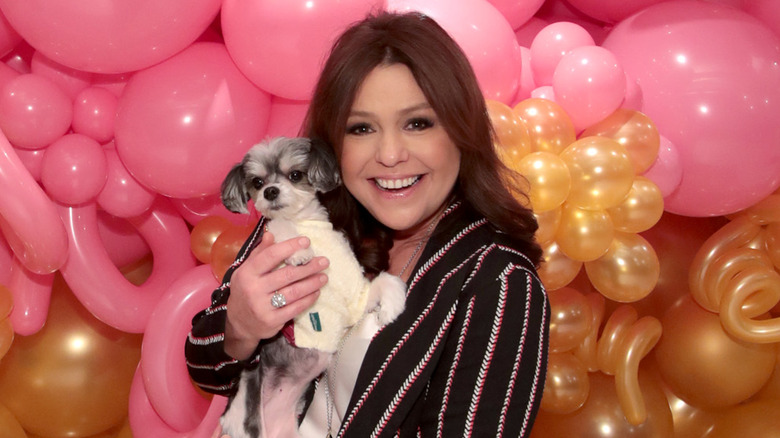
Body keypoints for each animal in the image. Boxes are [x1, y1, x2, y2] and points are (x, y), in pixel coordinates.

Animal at [216, 137, 406, 438]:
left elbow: (383, 282)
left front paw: (393, 305)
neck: (305, 222)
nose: (270, 191)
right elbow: (280, 228)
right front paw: (299, 252)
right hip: (247, 413)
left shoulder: (355, 299)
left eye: (295, 175)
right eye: (257, 182)